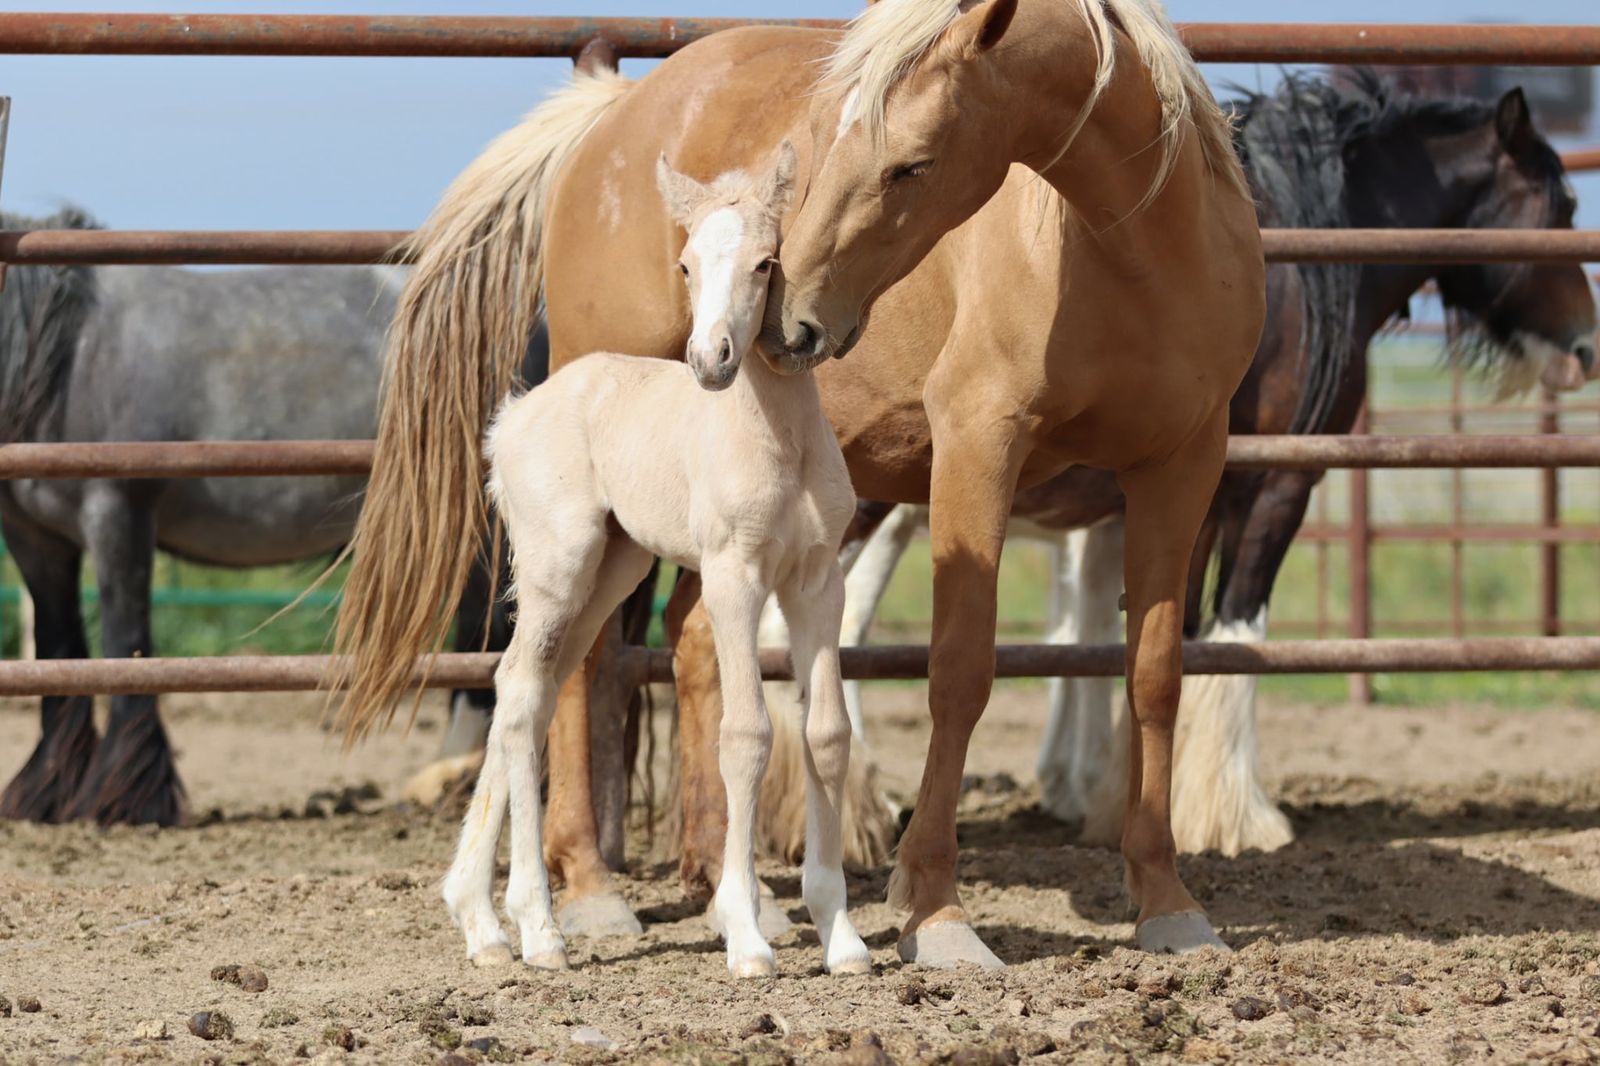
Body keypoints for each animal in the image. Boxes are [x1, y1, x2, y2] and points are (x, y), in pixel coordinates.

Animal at [0, 208, 542, 826]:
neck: (68, 349)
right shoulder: (35, 541)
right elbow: (59, 648)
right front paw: (44, 794)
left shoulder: (118, 513)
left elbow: (125, 643)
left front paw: (130, 800)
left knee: (489, 628)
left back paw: (453, 775)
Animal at [333, 0, 1264, 964]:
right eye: (828, 135)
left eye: (913, 162)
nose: (791, 321)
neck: (1133, 255)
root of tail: (611, 115)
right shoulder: (979, 446)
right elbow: (959, 672)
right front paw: (934, 910)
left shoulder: (1183, 466)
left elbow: (1155, 676)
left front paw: (1167, 900)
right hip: (592, 529)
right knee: (570, 669)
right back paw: (586, 892)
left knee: (685, 644)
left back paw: (722, 891)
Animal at [794, 70, 1600, 858]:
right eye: (1562, 204)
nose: (1585, 347)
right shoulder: (1271, 487)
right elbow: (1233, 634)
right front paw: (1230, 818)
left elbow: (1155, 637)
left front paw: (1128, 801)